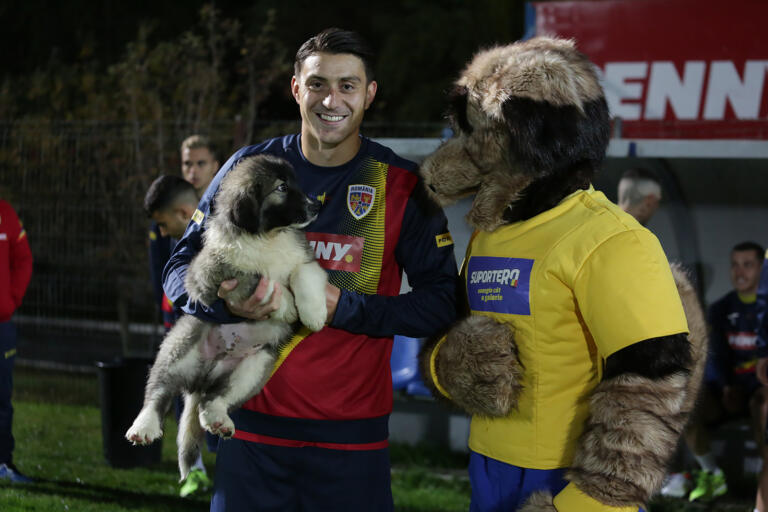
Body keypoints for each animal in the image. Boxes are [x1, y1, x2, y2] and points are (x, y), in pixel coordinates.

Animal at [125, 153, 328, 480]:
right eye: (282, 188)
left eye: (295, 182)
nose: (316, 206)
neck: (266, 237)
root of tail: (202, 378)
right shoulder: (207, 274)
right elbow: (253, 279)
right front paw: (285, 305)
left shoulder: (305, 259)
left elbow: (303, 274)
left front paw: (313, 313)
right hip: (180, 345)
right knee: (158, 391)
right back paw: (143, 427)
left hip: (255, 367)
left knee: (214, 399)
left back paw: (218, 418)